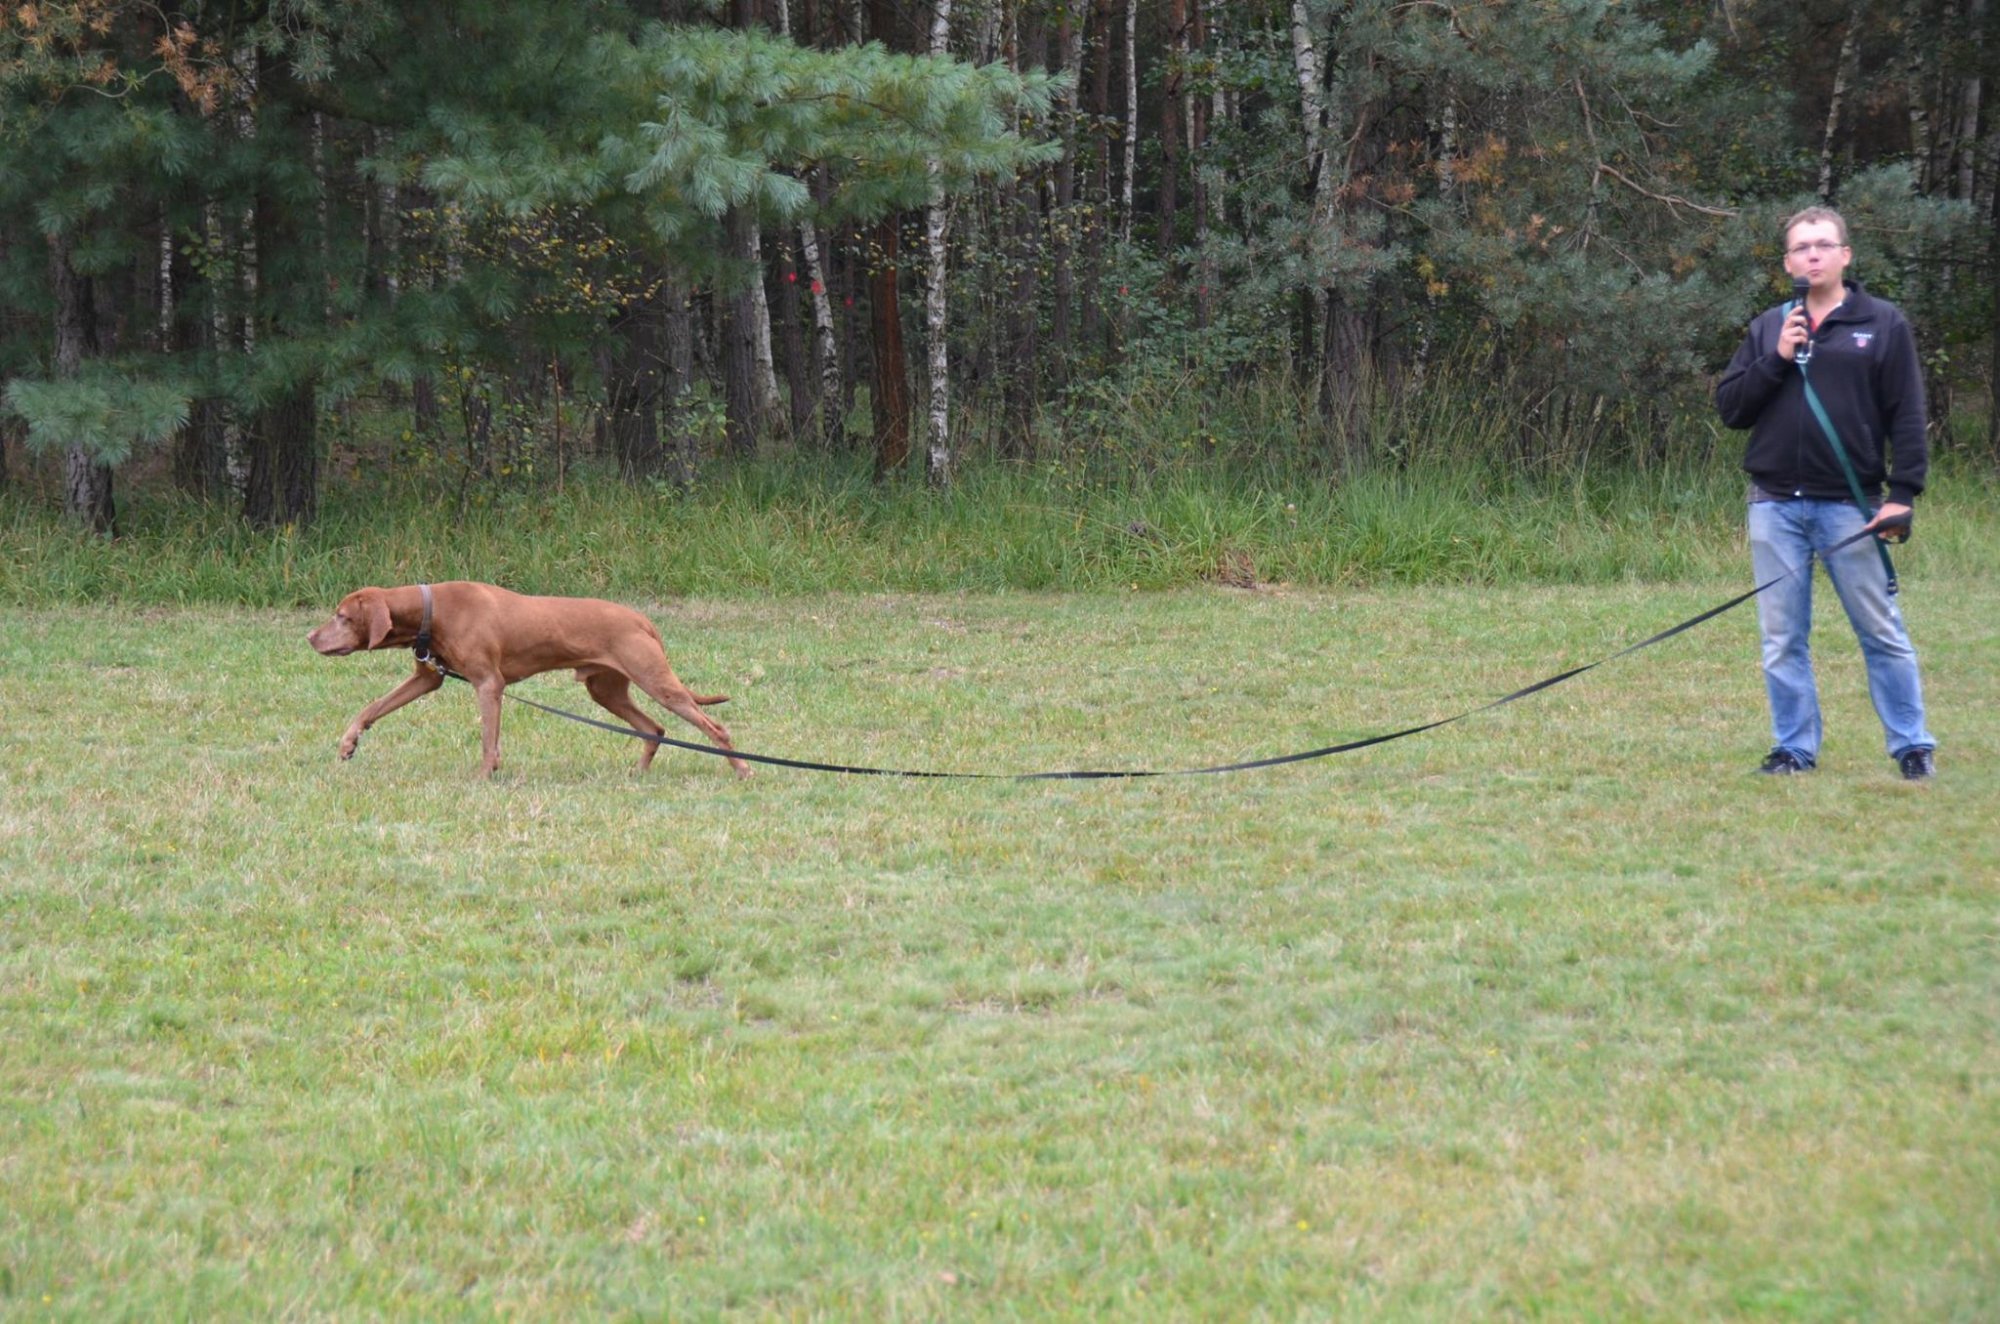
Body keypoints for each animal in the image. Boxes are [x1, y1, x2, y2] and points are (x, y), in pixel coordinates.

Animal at [304, 580, 752, 780]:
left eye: (342, 616)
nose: (309, 637)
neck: (433, 609)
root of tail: (641, 619)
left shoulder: (489, 684)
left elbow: (488, 740)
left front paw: (485, 776)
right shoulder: (426, 679)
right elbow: (372, 707)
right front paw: (348, 742)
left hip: (656, 681)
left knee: (715, 727)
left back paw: (743, 769)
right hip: (606, 690)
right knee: (653, 728)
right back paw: (638, 773)